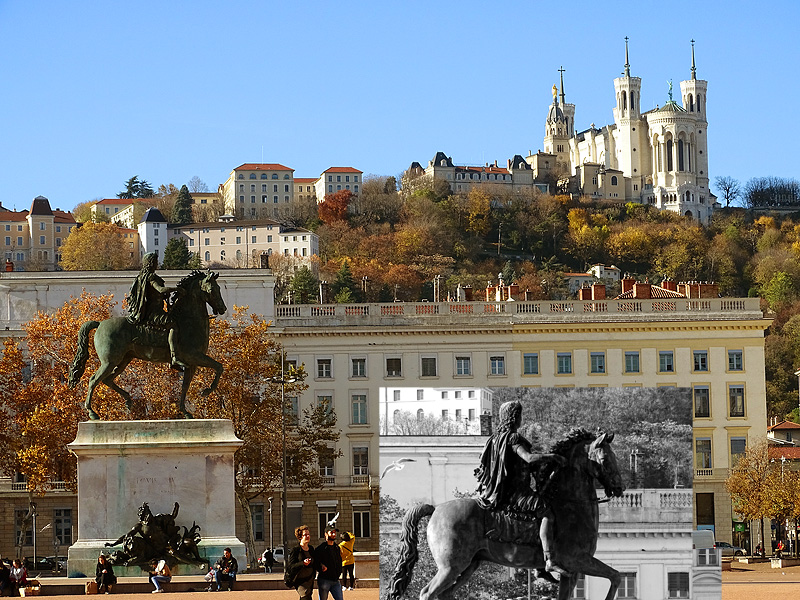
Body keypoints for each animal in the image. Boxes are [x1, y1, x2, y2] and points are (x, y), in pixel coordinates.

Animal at [69, 270, 227, 420]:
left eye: (219, 288)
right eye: (212, 289)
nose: (223, 308)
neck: (188, 320)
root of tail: (100, 323)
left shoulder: (192, 364)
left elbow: (185, 387)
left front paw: (185, 412)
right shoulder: (194, 356)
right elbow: (219, 367)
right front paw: (207, 391)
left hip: (124, 360)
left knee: (108, 379)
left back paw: (128, 400)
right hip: (109, 361)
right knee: (93, 380)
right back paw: (92, 413)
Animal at [388, 428, 624, 600]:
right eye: (605, 459)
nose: (619, 488)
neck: (569, 503)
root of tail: (436, 508)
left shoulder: (572, 571)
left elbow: (613, 577)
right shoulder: (576, 561)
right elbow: (616, 576)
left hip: (469, 564)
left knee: (445, 594)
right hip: (451, 566)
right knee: (427, 593)